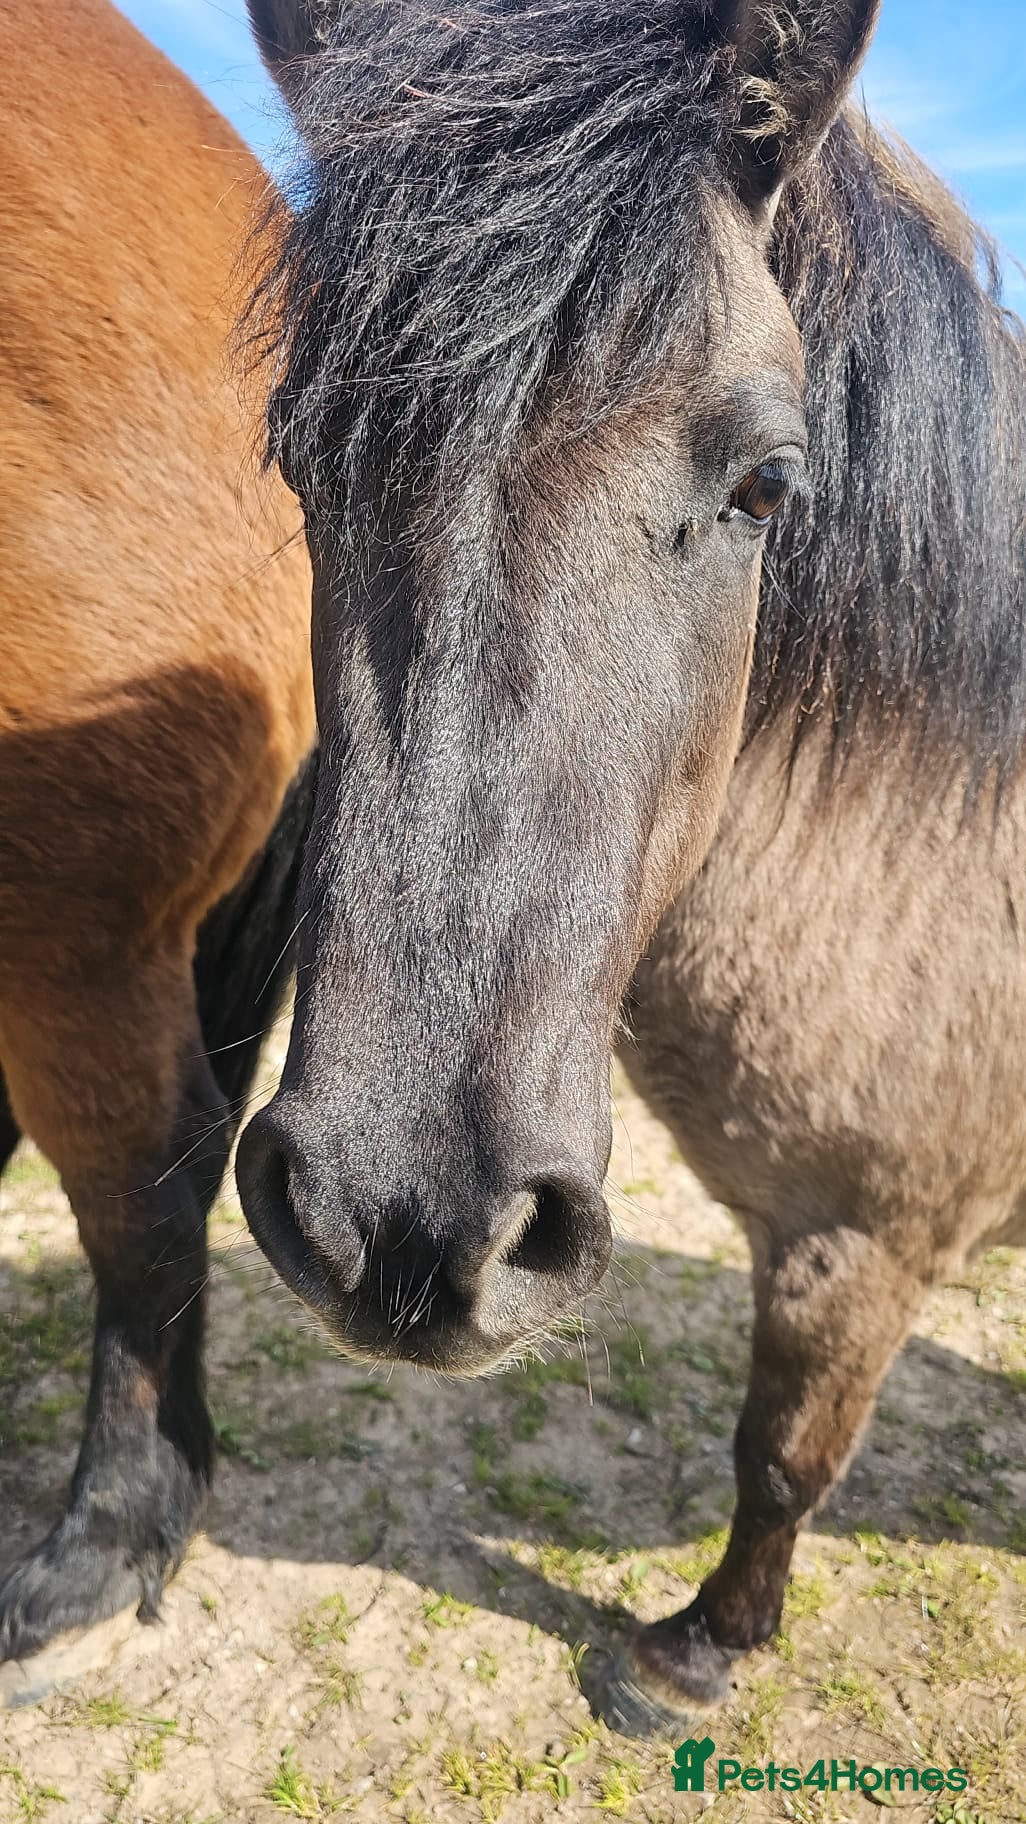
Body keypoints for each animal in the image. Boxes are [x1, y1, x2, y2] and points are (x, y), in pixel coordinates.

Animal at [237, 0, 1026, 1734]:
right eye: (300, 460)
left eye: (766, 486)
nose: (404, 1224)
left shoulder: (861, 1251)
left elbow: (782, 1456)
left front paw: (698, 1651)